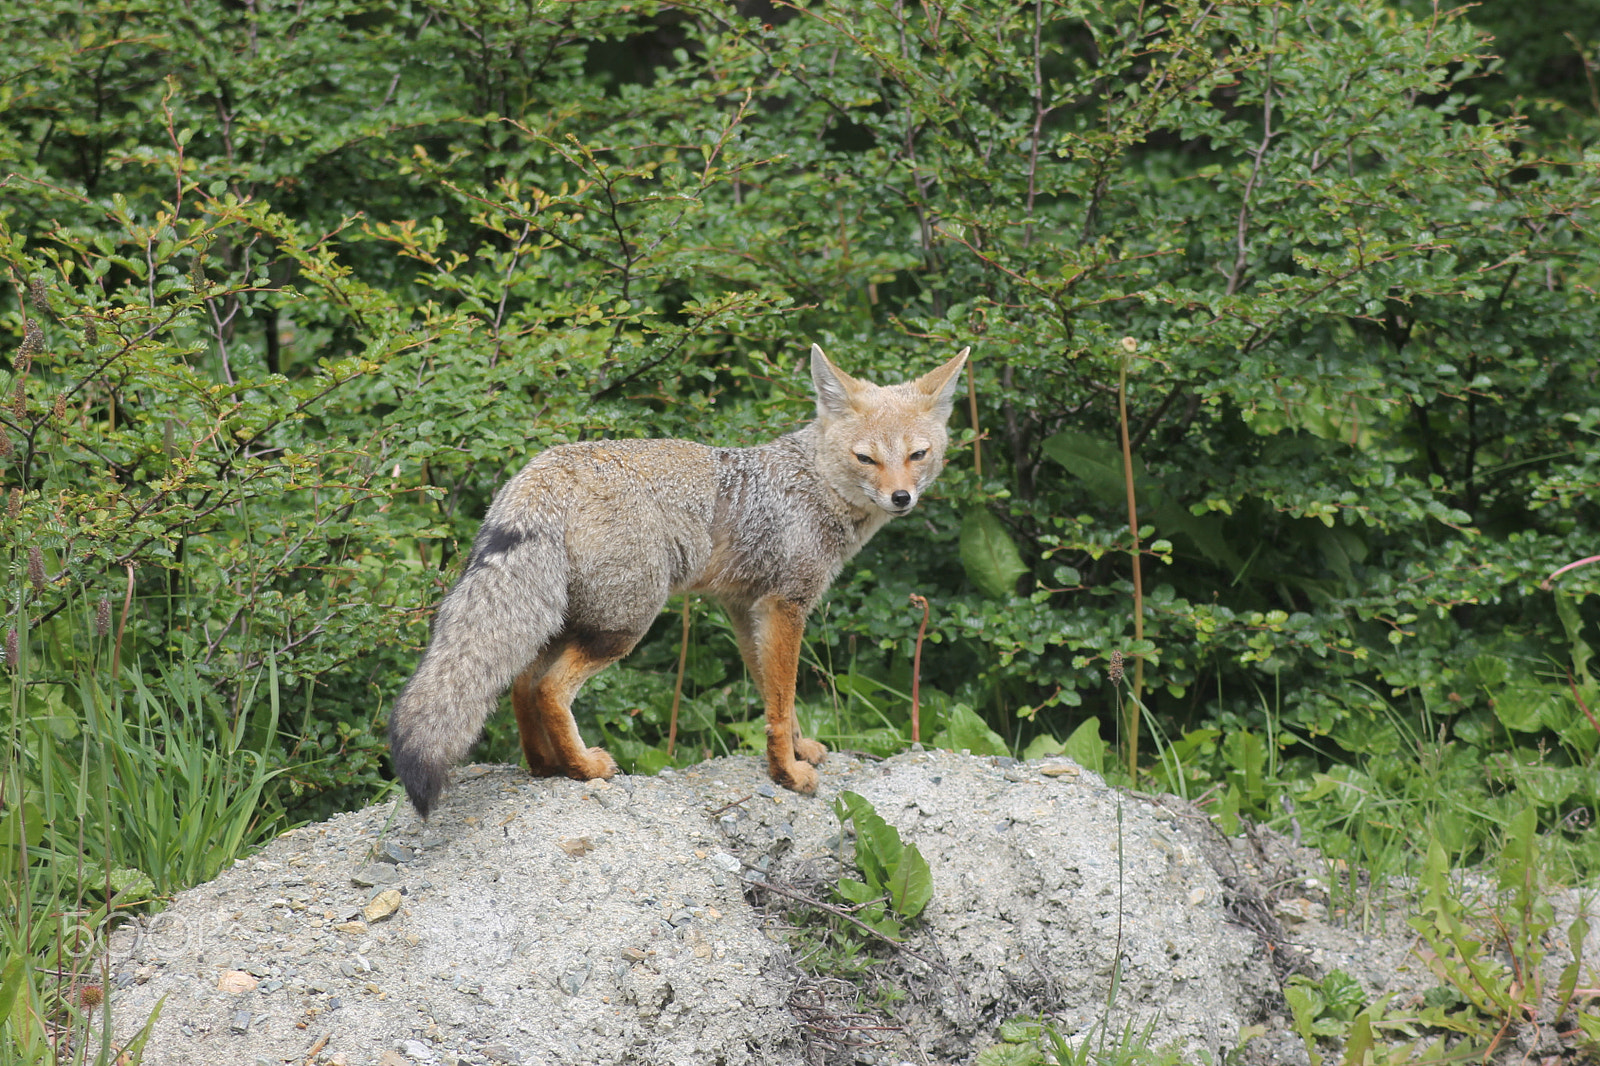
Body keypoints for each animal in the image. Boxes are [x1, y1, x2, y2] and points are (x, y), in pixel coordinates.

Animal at [388, 343, 970, 817]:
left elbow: (773, 696)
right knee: (549, 687)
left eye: (917, 455)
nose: (902, 498)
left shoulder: (746, 609)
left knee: (522, 684)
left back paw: (548, 767)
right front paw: (787, 773)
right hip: (624, 626)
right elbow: (783, 700)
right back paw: (585, 768)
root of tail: (543, 470)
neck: (814, 484)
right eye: (866, 458)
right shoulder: (786, 605)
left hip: (565, 621)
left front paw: (799, 751)